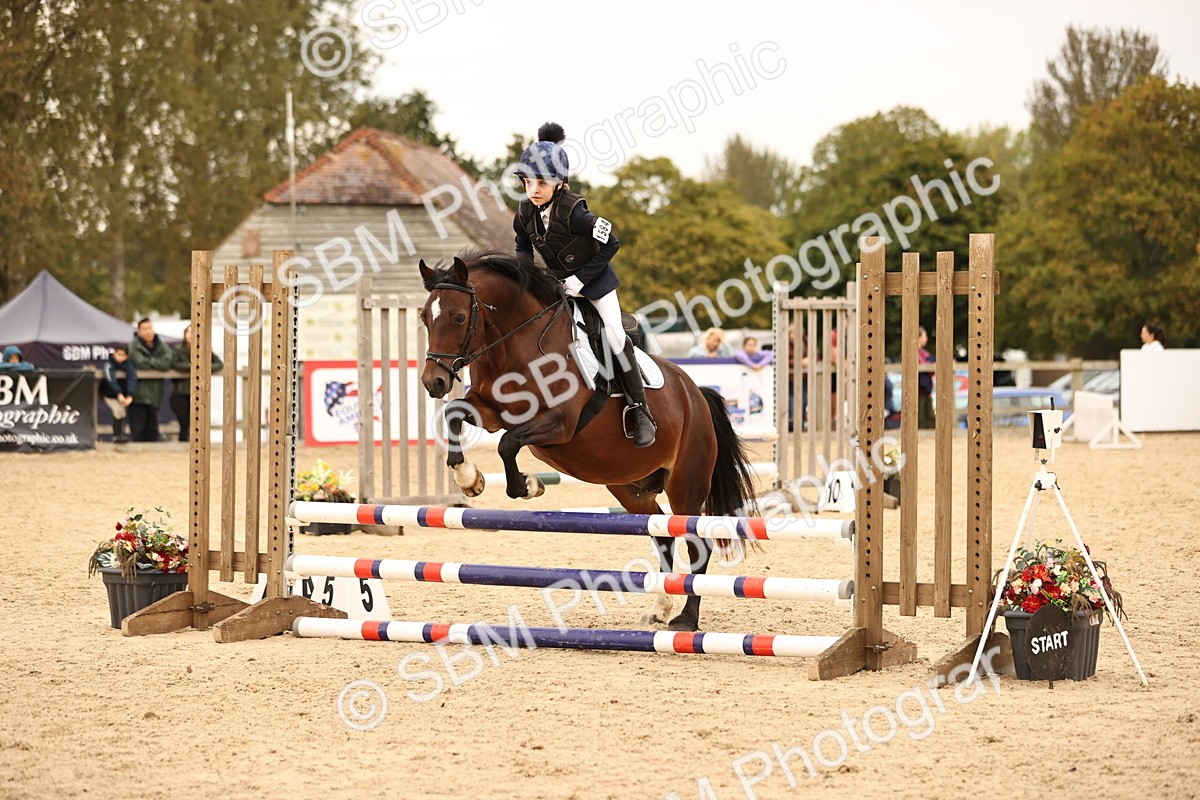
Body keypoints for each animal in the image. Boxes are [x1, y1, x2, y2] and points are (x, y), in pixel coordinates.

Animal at [417, 249, 756, 632]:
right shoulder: (491, 412)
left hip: (687, 482)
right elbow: (455, 413)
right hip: (629, 487)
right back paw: (660, 608)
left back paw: (685, 619)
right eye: (425, 318)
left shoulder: (560, 425)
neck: (516, 343)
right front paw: (469, 479)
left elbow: (507, 445)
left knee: (697, 541)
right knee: (662, 533)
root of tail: (696, 394)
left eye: (459, 317)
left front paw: (528, 485)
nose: (434, 382)